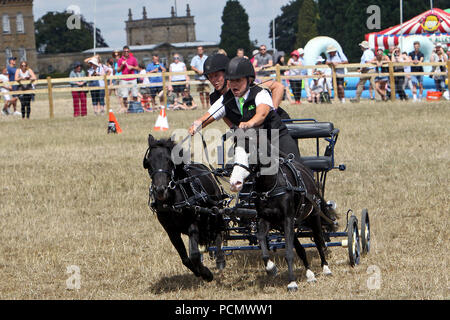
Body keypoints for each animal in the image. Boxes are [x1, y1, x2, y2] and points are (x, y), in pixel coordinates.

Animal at [143, 134, 229, 282]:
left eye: (170, 161)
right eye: (148, 162)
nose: (160, 190)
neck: (173, 202)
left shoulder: (193, 223)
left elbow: (194, 254)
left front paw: (206, 274)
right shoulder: (170, 230)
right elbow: (185, 258)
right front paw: (199, 272)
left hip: (215, 211)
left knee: (218, 232)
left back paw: (220, 260)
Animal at [229, 131, 338, 292]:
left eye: (252, 152)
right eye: (234, 153)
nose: (234, 183)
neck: (271, 187)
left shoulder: (287, 219)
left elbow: (288, 252)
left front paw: (292, 282)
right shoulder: (266, 219)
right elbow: (262, 239)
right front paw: (271, 268)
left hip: (313, 217)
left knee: (319, 241)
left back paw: (326, 268)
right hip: (290, 223)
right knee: (299, 248)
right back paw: (310, 274)